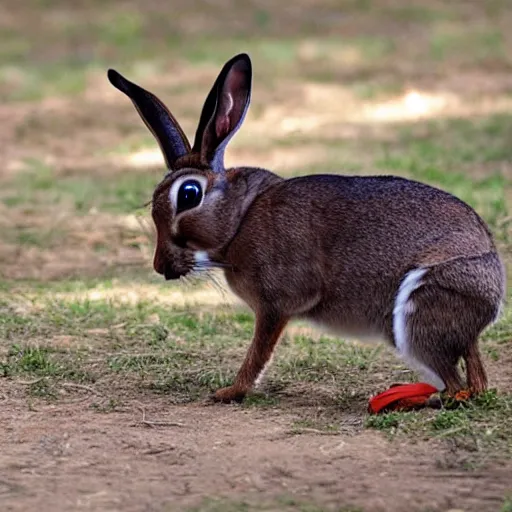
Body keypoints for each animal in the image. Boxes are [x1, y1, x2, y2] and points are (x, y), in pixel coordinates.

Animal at [108, 54, 504, 406]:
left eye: (189, 194)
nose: (161, 267)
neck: (240, 219)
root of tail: (494, 290)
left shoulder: (275, 305)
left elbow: (258, 353)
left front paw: (230, 392)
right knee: (472, 377)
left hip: (416, 316)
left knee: (457, 386)